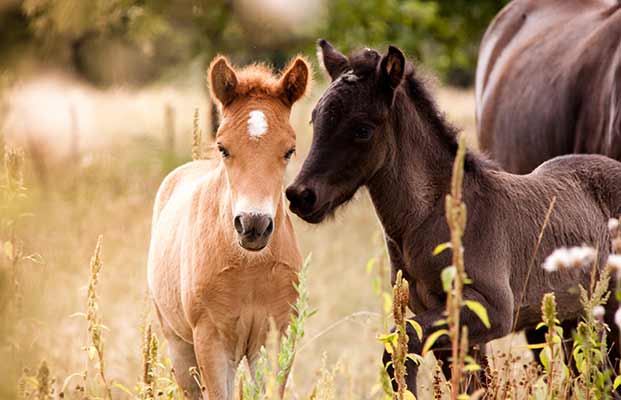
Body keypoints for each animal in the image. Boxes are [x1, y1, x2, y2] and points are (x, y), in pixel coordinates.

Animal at [146, 54, 310, 398]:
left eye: (289, 151)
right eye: (223, 147)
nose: (253, 225)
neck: (250, 268)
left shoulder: (276, 335)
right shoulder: (212, 339)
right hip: (180, 345)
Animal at [286, 40, 621, 394]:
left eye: (362, 129)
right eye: (315, 120)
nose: (301, 195)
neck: (435, 217)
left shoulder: (492, 310)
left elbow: (405, 344)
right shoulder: (442, 320)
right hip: (575, 315)